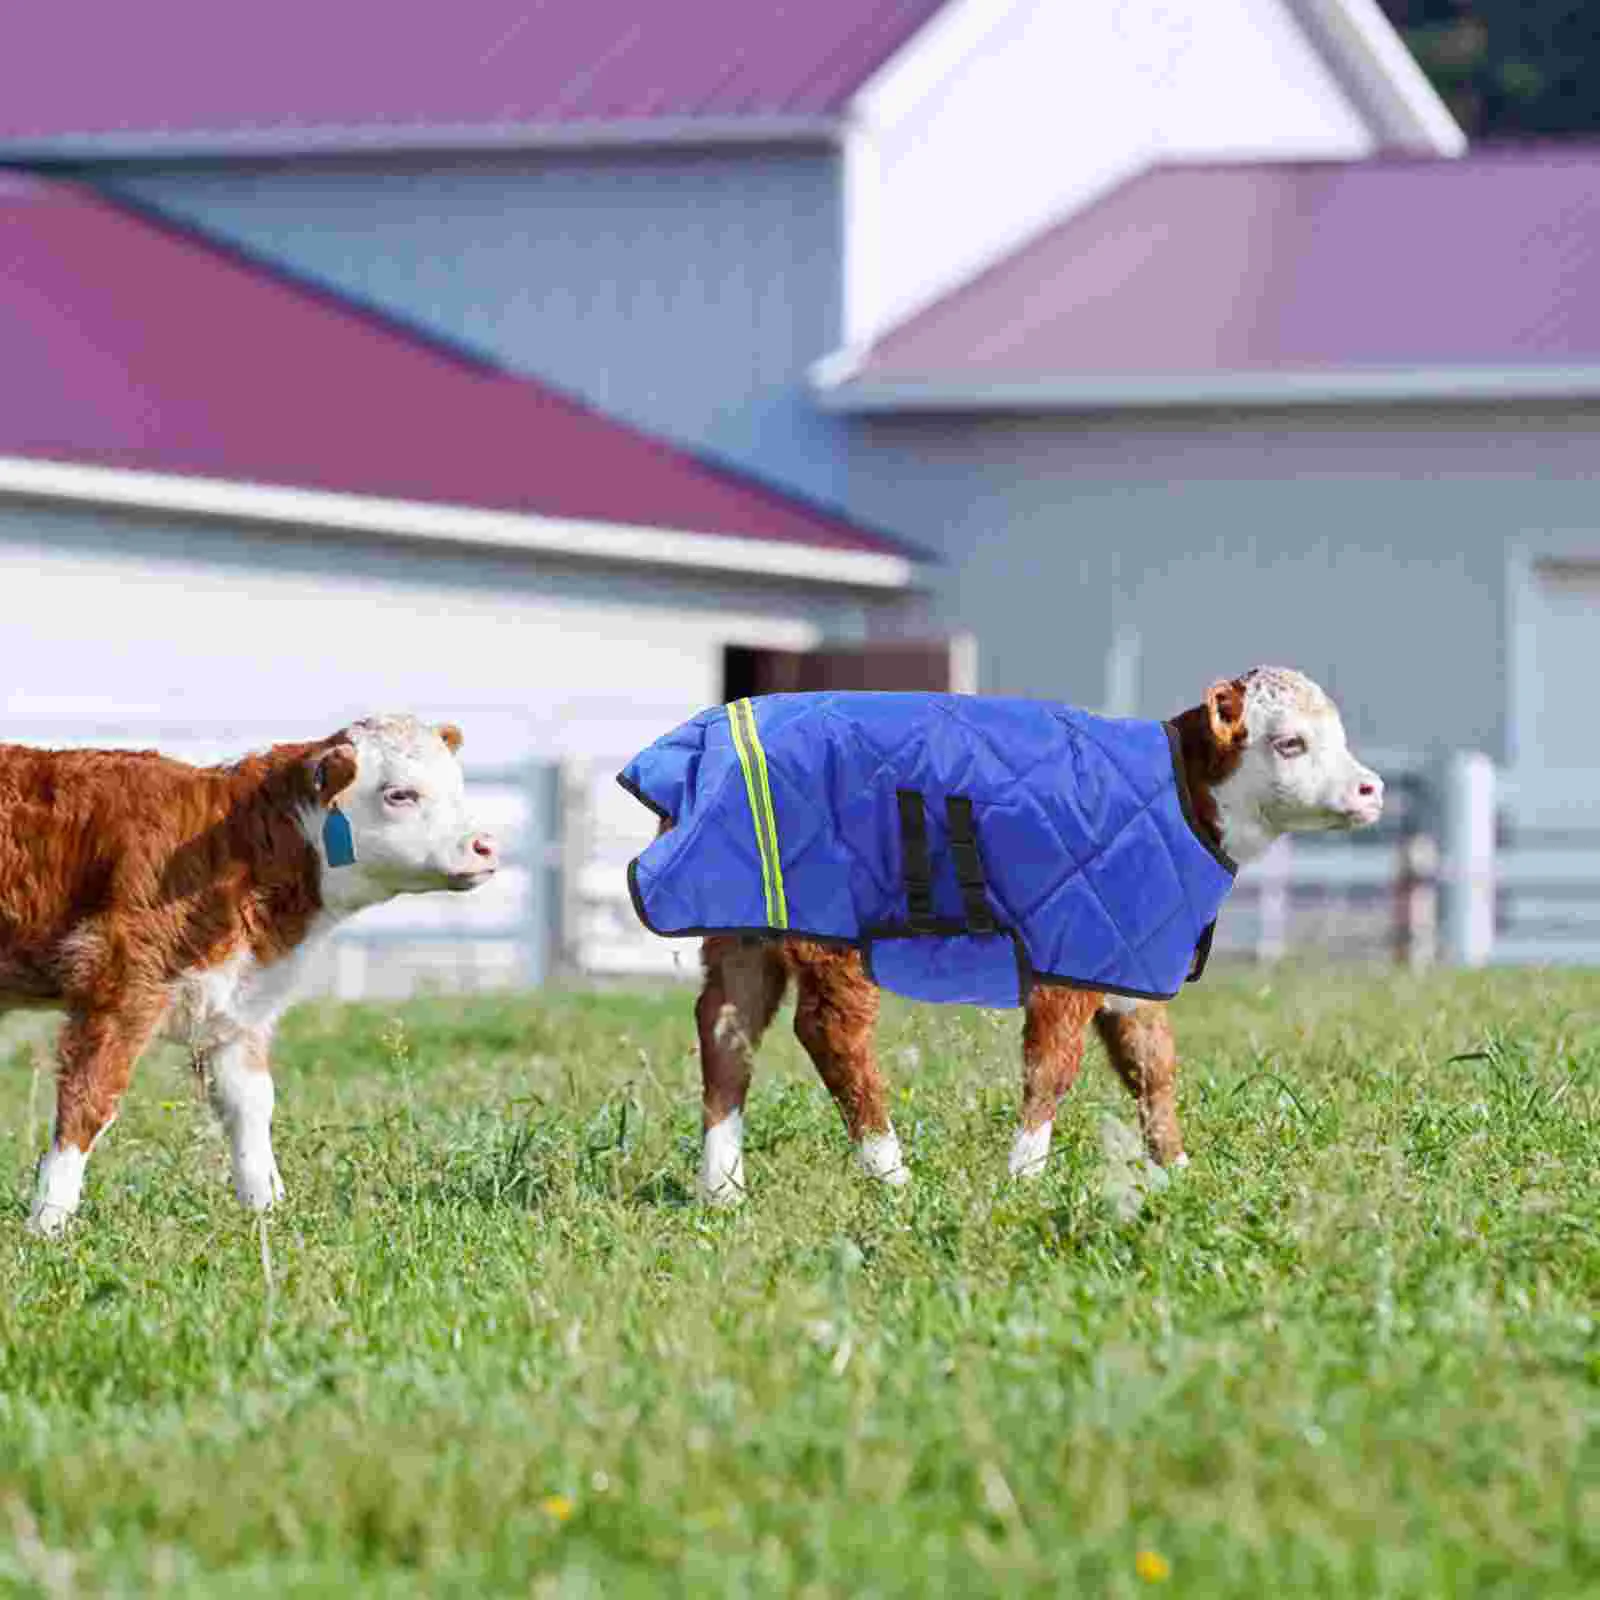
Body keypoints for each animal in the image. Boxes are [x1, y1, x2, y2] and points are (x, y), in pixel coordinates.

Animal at [0, 716, 496, 1235]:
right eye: (400, 794)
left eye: (457, 787)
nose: (484, 845)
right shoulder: (118, 987)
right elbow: (89, 1101)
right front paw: (47, 1222)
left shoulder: (238, 1010)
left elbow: (251, 1105)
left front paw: (267, 1208)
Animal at [684, 668, 1376, 1203]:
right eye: (1290, 743)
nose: (1372, 787)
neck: (1181, 793)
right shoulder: (1076, 943)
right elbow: (1052, 1064)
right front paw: (1025, 1176)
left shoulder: (1132, 951)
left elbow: (1152, 1065)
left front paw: (1177, 1170)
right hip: (830, 922)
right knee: (829, 1031)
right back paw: (891, 1172)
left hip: (741, 924)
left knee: (725, 1029)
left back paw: (723, 1189)